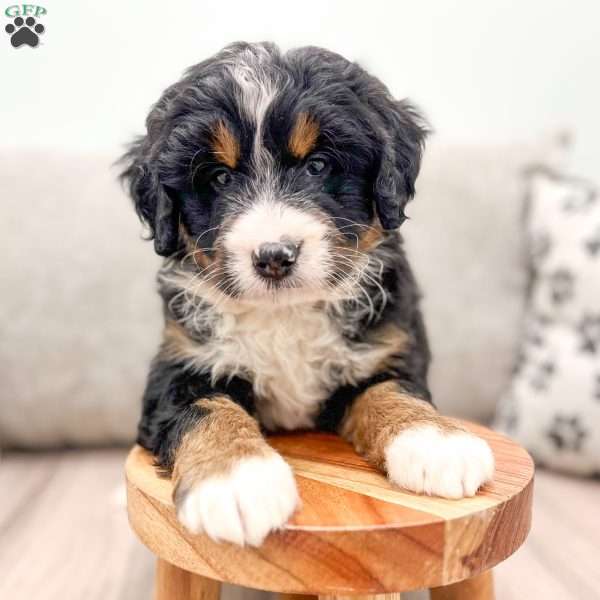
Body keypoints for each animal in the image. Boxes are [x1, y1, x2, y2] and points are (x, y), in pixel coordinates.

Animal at [120, 41, 492, 548]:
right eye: (218, 178)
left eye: (318, 165)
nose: (275, 255)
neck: (285, 314)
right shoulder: (181, 364)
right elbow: (205, 410)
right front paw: (236, 481)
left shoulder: (384, 350)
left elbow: (392, 391)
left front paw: (436, 442)